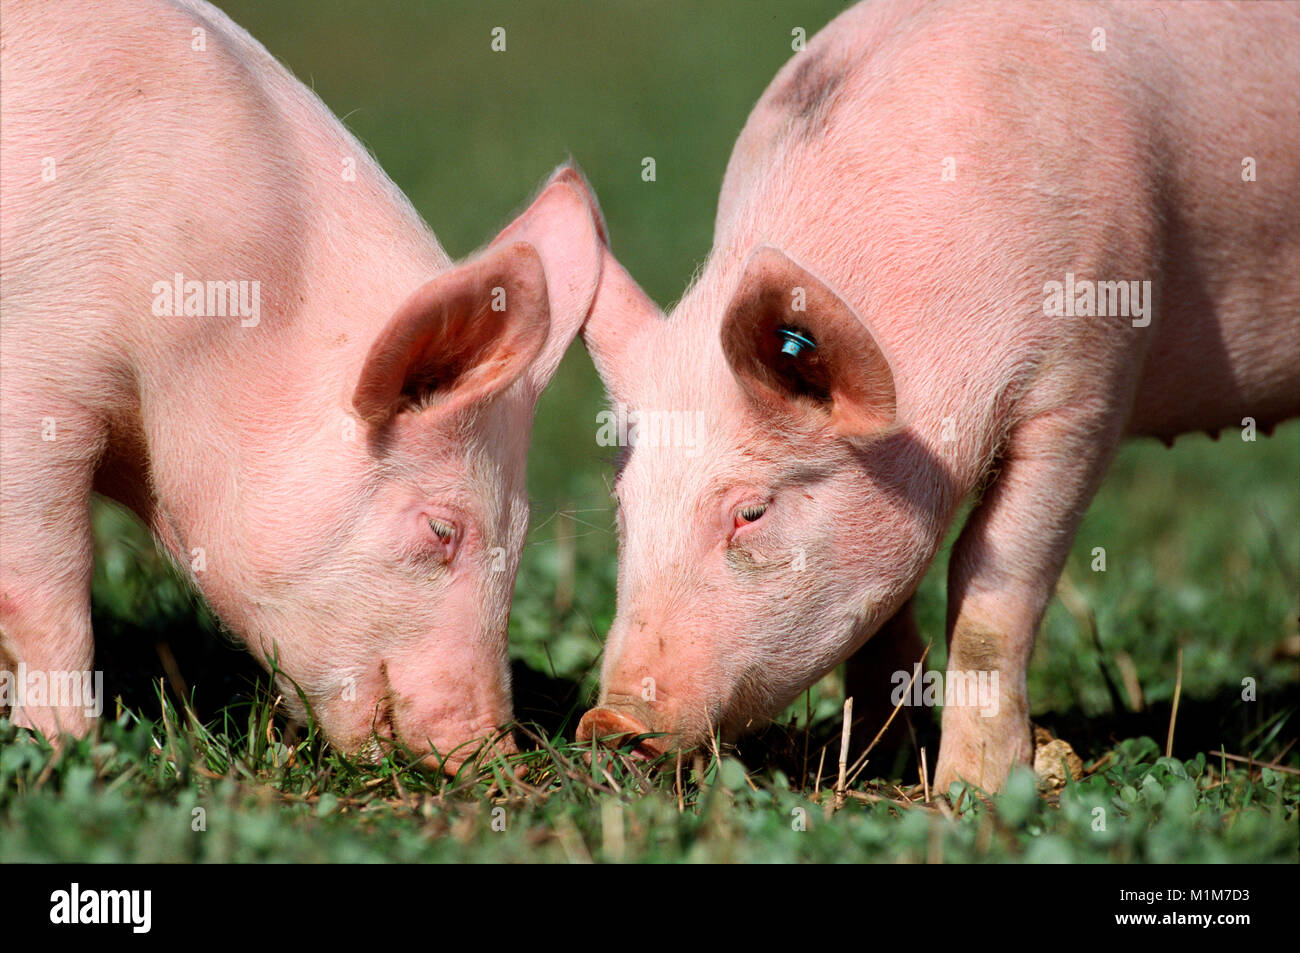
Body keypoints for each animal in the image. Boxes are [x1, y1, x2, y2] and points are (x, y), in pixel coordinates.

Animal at [0, 0, 608, 773]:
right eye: (442, 528)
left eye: (524, 534)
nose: (498, 755)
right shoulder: (36, 379)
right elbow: (45, 594)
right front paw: (67, 750)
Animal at [576, 0, 1300, 791]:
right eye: (622, 504)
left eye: (751, 511)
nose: (608, 722)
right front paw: (873, 759)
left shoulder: (1086, 380)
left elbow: (990, 583)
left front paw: (971, 791)